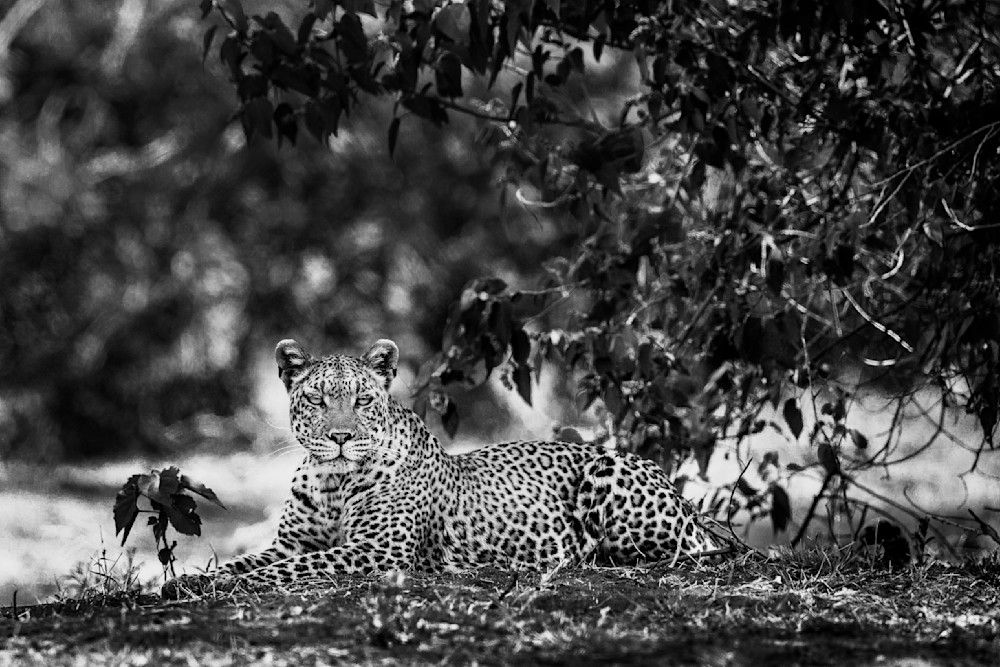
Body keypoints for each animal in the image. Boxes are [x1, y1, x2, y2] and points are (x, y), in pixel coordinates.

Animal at [162, 338, 724, 597]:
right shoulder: (290, 542)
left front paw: (212, 587)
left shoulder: (376, 552)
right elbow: (243, 561)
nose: (340, 438)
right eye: (317, 400)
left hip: (608, 474)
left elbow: (284, 571)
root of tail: (677, 492)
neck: (332, 483)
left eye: (362, 400)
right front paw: (181, 582)